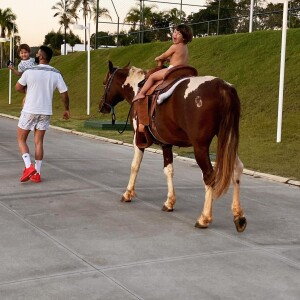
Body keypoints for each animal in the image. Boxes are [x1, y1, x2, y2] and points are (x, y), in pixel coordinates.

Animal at [99, 59, 247, 232]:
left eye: (105, 83)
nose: (102, 106)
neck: (138, 89)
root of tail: (222, 87)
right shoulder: (166, 144)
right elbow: (168, 170)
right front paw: (169, 202)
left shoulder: (138, 139)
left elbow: (134, 166)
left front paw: (128, 193)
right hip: (229, 140)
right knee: (237, 168)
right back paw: (238, 215)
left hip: (200, 147)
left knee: (209, 176)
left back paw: (204, 218)